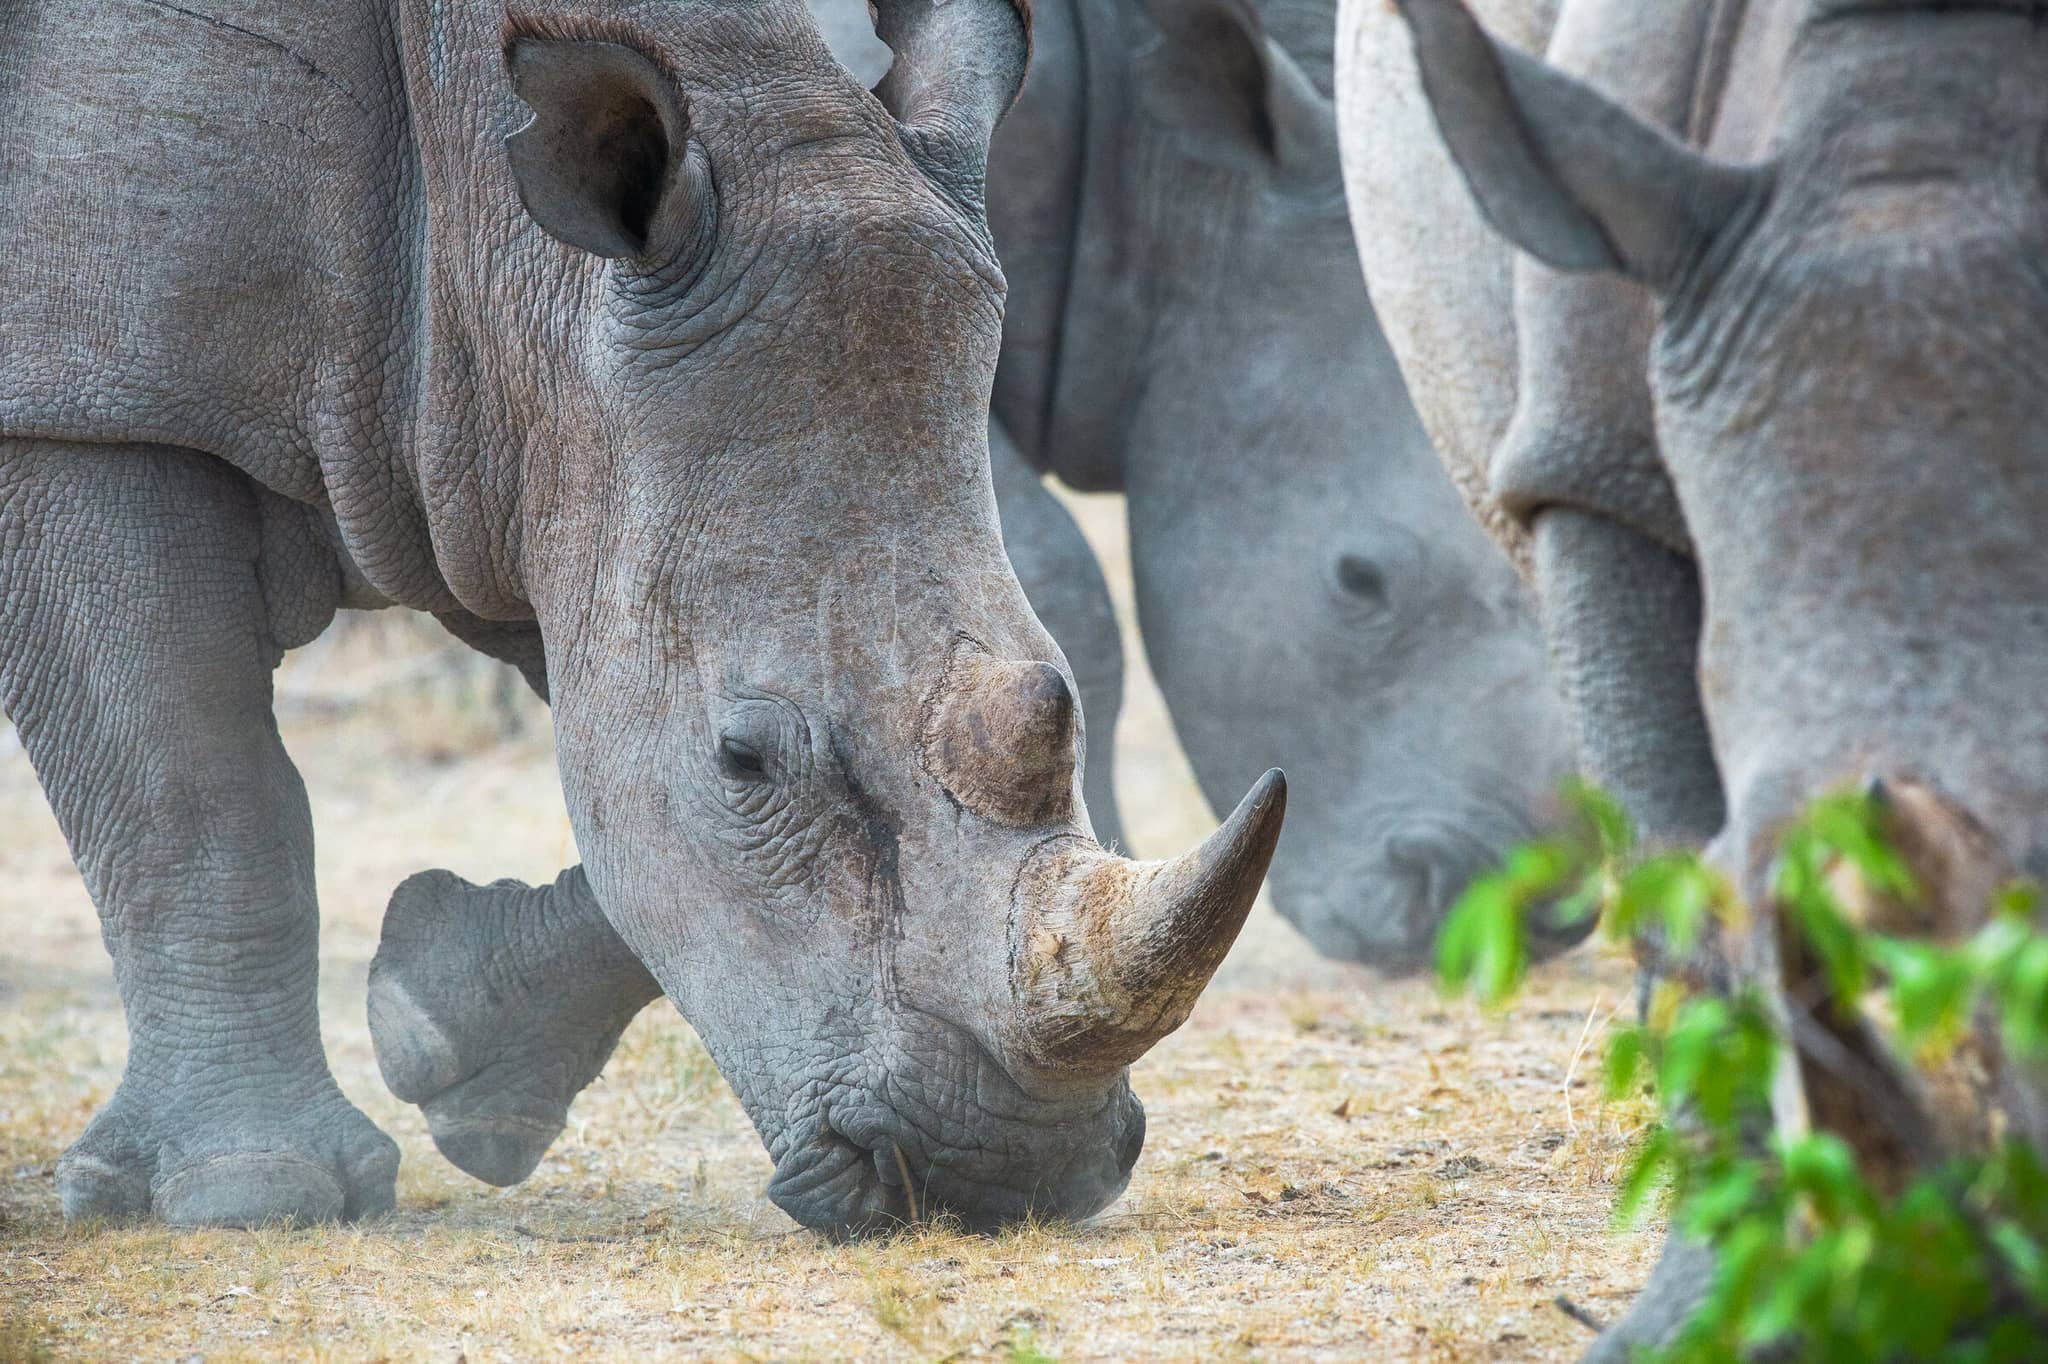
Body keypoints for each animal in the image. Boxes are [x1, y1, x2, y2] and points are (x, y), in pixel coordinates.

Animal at [0, 0, 1288, 1236]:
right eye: (743, 758)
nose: (1007, 1172)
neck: (496, 236)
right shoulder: (85, 405)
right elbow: (193, 792)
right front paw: (256, 1190)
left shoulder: (525, 450)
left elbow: (624, 809)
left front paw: (442, 1039)